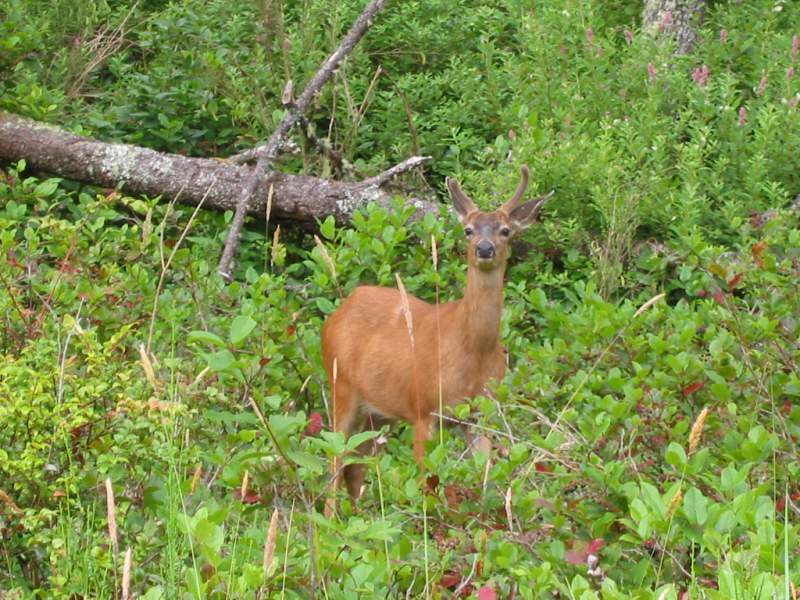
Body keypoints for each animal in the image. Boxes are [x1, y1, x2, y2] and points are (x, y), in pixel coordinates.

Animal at [318, 164, 552, 502]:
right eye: (468, 229)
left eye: (506, 230)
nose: (484, 249)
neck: (472, 353)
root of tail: (337, 313)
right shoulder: (423, 408)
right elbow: (426, 483)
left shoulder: (481, 413)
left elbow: (484, 479)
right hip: (341, 386)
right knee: (335, 461)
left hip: (381, 411)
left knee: (356, 464)